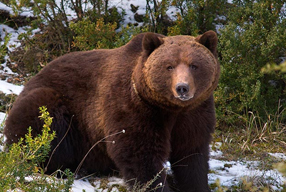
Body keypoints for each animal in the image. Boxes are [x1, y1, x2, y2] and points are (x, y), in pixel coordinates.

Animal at [3, 30, 219, 191]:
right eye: (169, 66)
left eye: (194, 65)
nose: (182, 88)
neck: (170, 108)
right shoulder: (133, 107)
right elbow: (141, 155)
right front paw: (158, 185)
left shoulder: (195, 114)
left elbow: (192, 154)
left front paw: (197, 185)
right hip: (55, 107)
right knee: (42, 125)